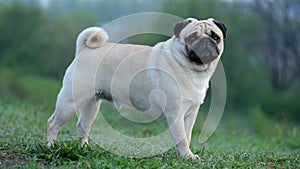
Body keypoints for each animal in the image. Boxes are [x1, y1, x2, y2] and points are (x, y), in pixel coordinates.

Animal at [48, 17, 227, 160]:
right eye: (192, 37)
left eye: (215, 37)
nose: (205, 43)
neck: (191, 69)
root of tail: (84, 49)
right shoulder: (176, 113)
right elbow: (182, 138)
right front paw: (188, 156)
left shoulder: (190, 113)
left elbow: (187, 136)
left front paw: (184, 155)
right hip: (69, 102)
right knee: (53, 124)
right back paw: (52, 146)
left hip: (91, 104)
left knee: (82, 126)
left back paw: (84, 149)